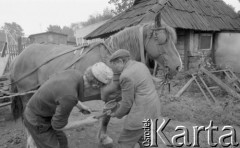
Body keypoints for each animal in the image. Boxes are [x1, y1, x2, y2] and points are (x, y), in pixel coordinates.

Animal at [9, 13, 182, 146]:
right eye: (161, 39)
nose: (178, 66)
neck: (111, 58)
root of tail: (19, 56)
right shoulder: (110, 96)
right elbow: (106, 117)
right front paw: (104, 138)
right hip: (26, 93)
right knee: (27, 115)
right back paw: (32, 140)